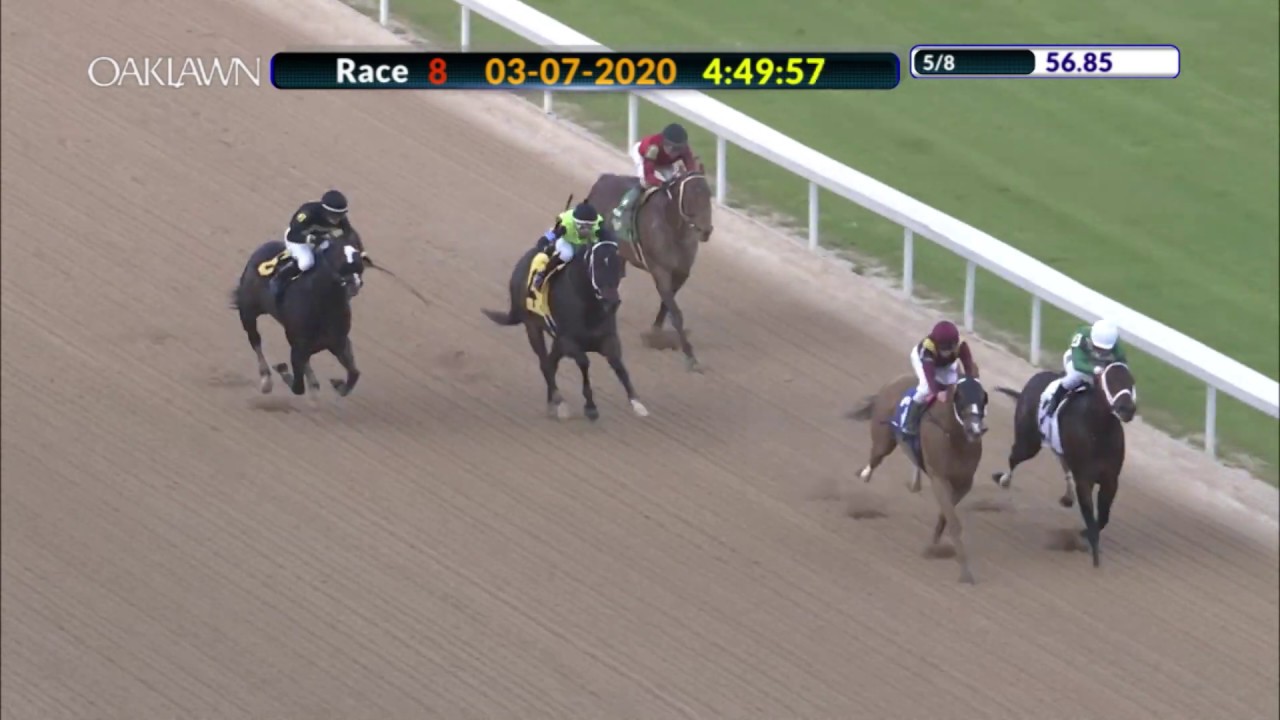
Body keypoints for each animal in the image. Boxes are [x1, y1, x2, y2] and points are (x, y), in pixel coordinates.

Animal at [229, 232, 365, 398]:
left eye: (358, 253)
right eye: (338, 256)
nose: (356, 283)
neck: (325, 308)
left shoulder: (338, 342)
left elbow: (354, 374)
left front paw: (338, 384)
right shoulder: (299, 346)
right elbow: (298, 387)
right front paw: (282, 369)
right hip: (248, 312)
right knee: (255, 341)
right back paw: (266, 379)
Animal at [482, 239, 649, 421]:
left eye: (619, 265)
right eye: (596, 266)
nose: (612, 302)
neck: (587, 305)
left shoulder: (608, 338)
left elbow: (618, 364)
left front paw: (637, 403)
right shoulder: (568, 341)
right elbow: (584, 362)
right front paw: (590, 407)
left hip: (556, 341)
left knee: (551, 363)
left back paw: (552, 403)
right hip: (533, 328)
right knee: (545, 364)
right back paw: (559, 402)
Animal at [587, 168, 714, 372]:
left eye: (708, 194)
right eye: (690, 197)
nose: (706, 231)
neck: (672, 228)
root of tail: (603, 179)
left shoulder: (681, 273)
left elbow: (667, 305)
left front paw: (656, 332)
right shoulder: (660, 271)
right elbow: (675, 313)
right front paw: (690, 356)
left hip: (619, 253)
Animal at [847, 375, 990, 584]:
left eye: (983, 399)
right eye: (961, 398)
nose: (976, 430)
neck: (955, 440)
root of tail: (892, 383)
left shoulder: (964, 484)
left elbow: (945, 515)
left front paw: (934, 545)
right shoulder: (939, 479)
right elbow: (954, 522)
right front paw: (965, 573)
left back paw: (912, 483)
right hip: (883, 442)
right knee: (873, 461)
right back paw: (863, 478)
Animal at [989, 363, 1136, 567]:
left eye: (1131, 381)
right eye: (1110, 380)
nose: (1127, 409)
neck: (1098, 430)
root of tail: (1037, 377)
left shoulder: (1110, 480)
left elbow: (1103, 517)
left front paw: (1085, 534)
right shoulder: (1084, 480)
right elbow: (1090, 515)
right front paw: (1094, 555)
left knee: (1063, 465)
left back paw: (1067, 497)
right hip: (1029, 442)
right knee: (1014, 457)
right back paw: (1004, 479)